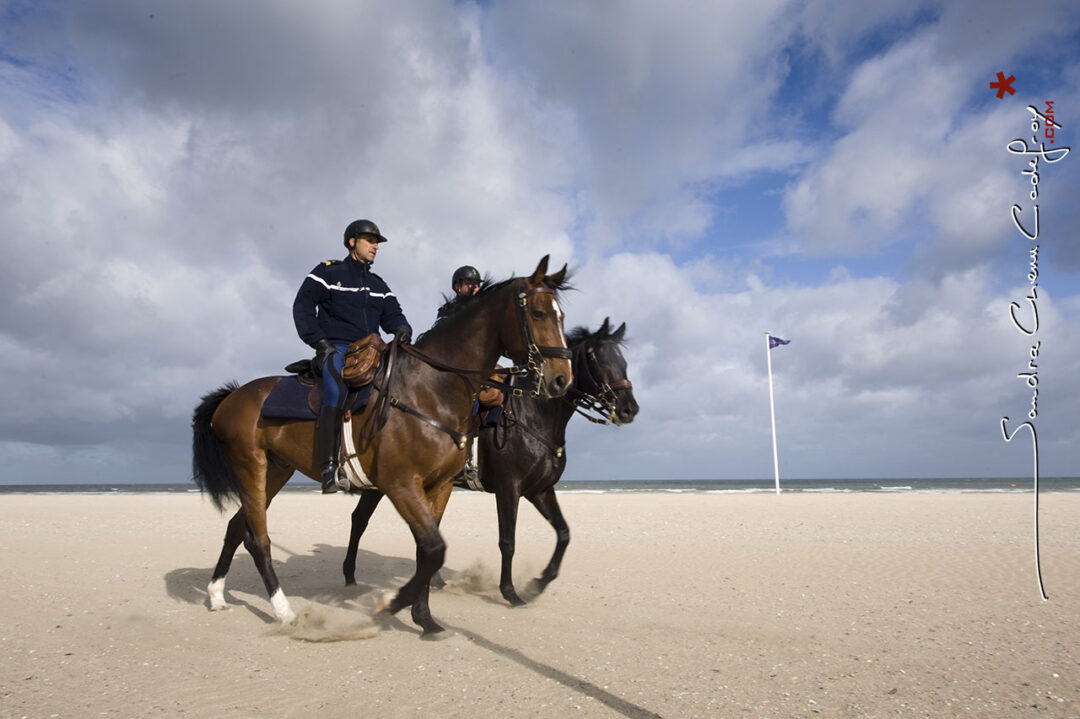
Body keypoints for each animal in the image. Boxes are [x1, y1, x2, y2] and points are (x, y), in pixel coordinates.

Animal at [191, 253, 574, 634]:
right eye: (539, 313)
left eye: (562, 316)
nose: (561, 379)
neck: (431, 390)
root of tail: (233, 397)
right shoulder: (401, 484)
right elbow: (434, 549)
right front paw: (392, 605)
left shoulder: (441, 486)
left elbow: (429, 551)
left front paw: (424, 618)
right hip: (250, 466)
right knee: (258, 539)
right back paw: (284, 611)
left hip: (275, 470)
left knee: (237, 526)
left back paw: (217, 594)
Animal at [341, 317, 635, 600]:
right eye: (599, 359)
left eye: (624, 362)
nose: (629, 408)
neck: (533, 413)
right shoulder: (509, 488)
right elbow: (508, 542)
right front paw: (510, 592)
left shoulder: (539, 490)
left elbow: (563, 533)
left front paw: (539, 582)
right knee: (360, 519)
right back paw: (350, 576)